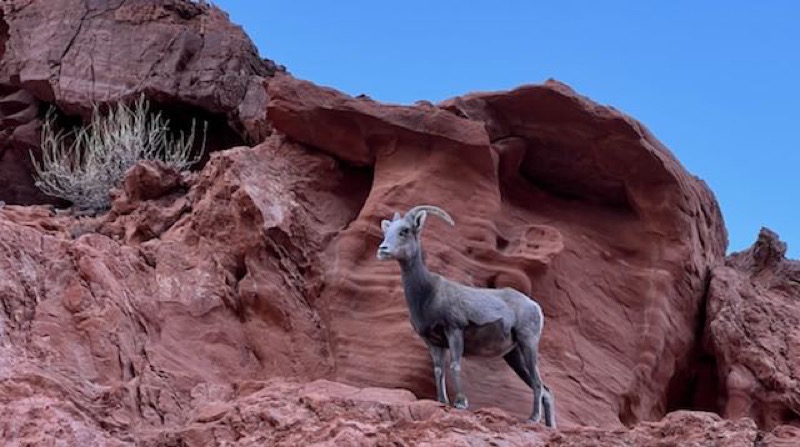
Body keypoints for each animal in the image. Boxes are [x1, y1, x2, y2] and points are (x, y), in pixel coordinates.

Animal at [376, 205, 556, 428]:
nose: (383, 249)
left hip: (528, 343)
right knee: (545, 390)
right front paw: (442, 401)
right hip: (513, 355)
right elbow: (439, 370)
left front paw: (461, 403)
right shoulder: (433, 342)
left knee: (538, 383)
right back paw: (549, 426)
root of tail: (535, 306)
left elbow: (455, 365)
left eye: (405, 231)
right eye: (387, 231)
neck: (428, 294)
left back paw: (533, 418)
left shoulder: (454, 330)